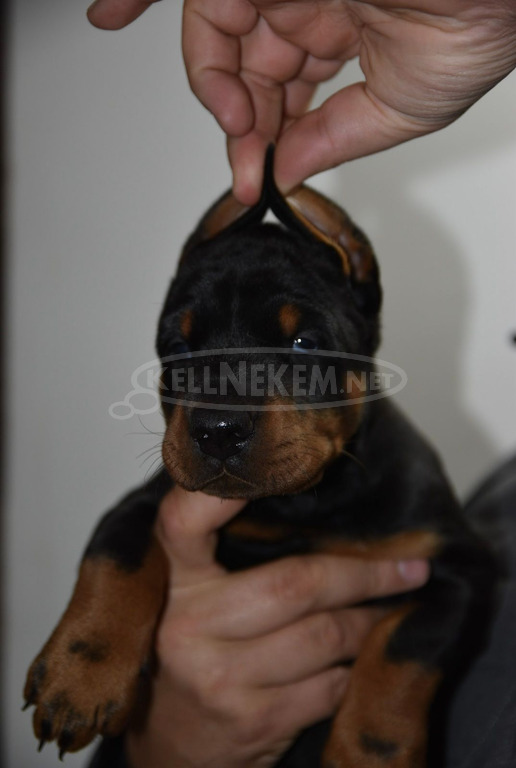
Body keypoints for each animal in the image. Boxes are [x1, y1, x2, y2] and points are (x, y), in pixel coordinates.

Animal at [24, 147, 493, 766]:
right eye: (178, 348)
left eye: (305, 343)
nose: (218, 431)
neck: (301, 506)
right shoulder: (149, 502)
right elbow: (117, 555)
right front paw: (78, 675)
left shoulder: (452, 562)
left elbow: (403, 651)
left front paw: (369, 751)